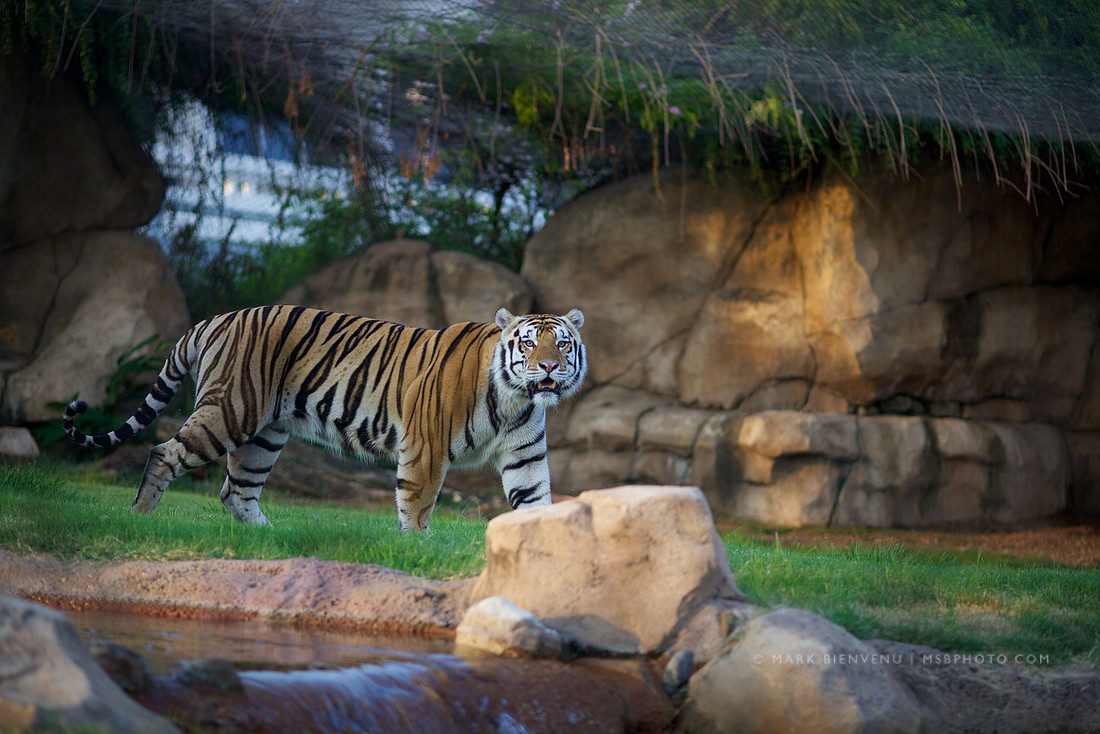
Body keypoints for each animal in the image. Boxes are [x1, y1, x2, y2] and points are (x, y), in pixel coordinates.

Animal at [63, 304, 587, 532]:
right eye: (528, 343)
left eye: (561, 343)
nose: (548, 367)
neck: (517, 398)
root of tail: (217, 318)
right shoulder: (426, 449)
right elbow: (417, 506)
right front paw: (414, 548)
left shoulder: (525, 458)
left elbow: (536, 502)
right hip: (229, 411)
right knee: (163, 452)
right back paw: (140, 518)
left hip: (265, 434)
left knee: (235, 489)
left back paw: (270, 540)